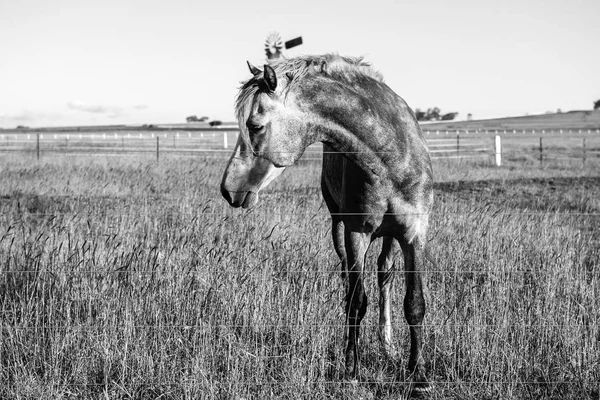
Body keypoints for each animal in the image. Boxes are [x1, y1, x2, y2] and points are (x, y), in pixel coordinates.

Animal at [220, 55, 432, 396]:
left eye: (254, 126)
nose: (228, 189)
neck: (391, 156)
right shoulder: (357, 232)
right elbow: (357, 302)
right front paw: (351, 370)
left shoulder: (414, 234)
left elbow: (414, 303)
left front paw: (418, 376)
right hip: (339, 229)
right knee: (349, 282)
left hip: (390, 237)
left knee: (385, 274)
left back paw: (387, 345)